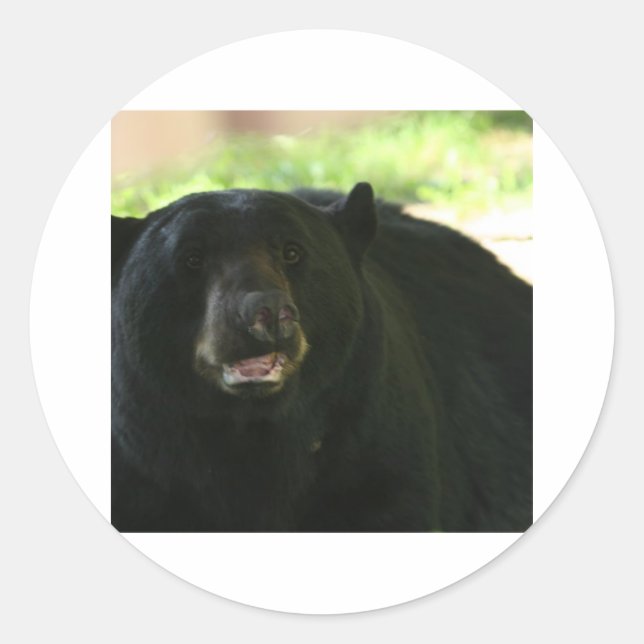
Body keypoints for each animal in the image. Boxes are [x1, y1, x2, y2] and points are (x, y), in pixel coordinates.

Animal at [111, 183, 532, 532]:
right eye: (192, 258)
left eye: (293, 251)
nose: (266, 311)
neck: (251, 426)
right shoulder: (144, 465)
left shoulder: (370, 446)